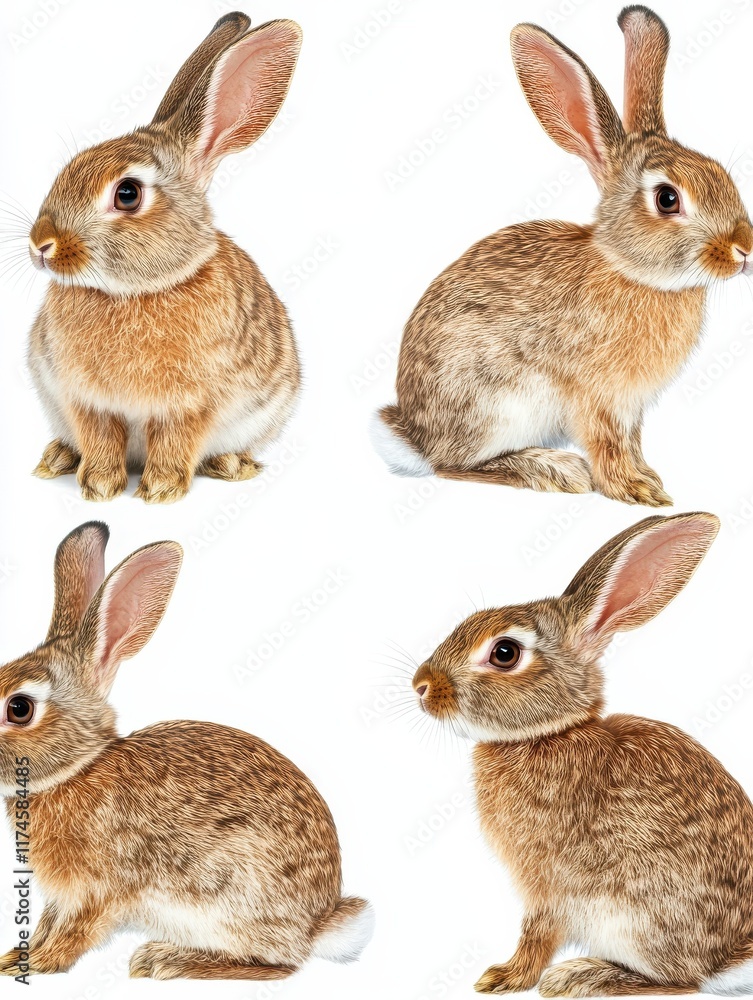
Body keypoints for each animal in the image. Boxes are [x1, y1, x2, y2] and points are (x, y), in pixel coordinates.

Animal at [0, 522, 374, 979]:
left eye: (19, 708)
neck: (77, 768)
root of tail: (319, 926)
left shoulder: (100, 889)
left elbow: (76, 931)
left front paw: (37, 964)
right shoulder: (61, 896)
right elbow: (47, 922)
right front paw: (14, 957)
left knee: (279, 964)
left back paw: (166, 960)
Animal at [26, 12, 302, 504]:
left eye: (128, 194)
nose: (41, 244)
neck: (136, 291)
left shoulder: (190, 405)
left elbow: (177, 440)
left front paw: (160, 489)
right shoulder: (85, 400)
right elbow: (99, 436)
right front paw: (100, 486)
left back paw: (231, 464)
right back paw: (57, 458)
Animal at [372, 6, 753, 508]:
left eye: (720, 172)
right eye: (668, 199)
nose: (745, 248)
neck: (628, 269)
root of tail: (413, 436)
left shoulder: (629, 407)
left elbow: (630, 442)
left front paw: (648, 478)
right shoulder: (597, 397)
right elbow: (606, 443)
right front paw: (635, 491)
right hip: (497, 406)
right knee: (454, 465)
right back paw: (553, 469)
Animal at [411, 511, 753, 996]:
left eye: (504, 652)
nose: (421, 686)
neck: (549, 734)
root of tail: (730, 957)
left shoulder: (549, 884)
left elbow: (538, 932)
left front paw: (505, 977)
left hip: (634, 919)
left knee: (683, 981)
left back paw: (579, 976)